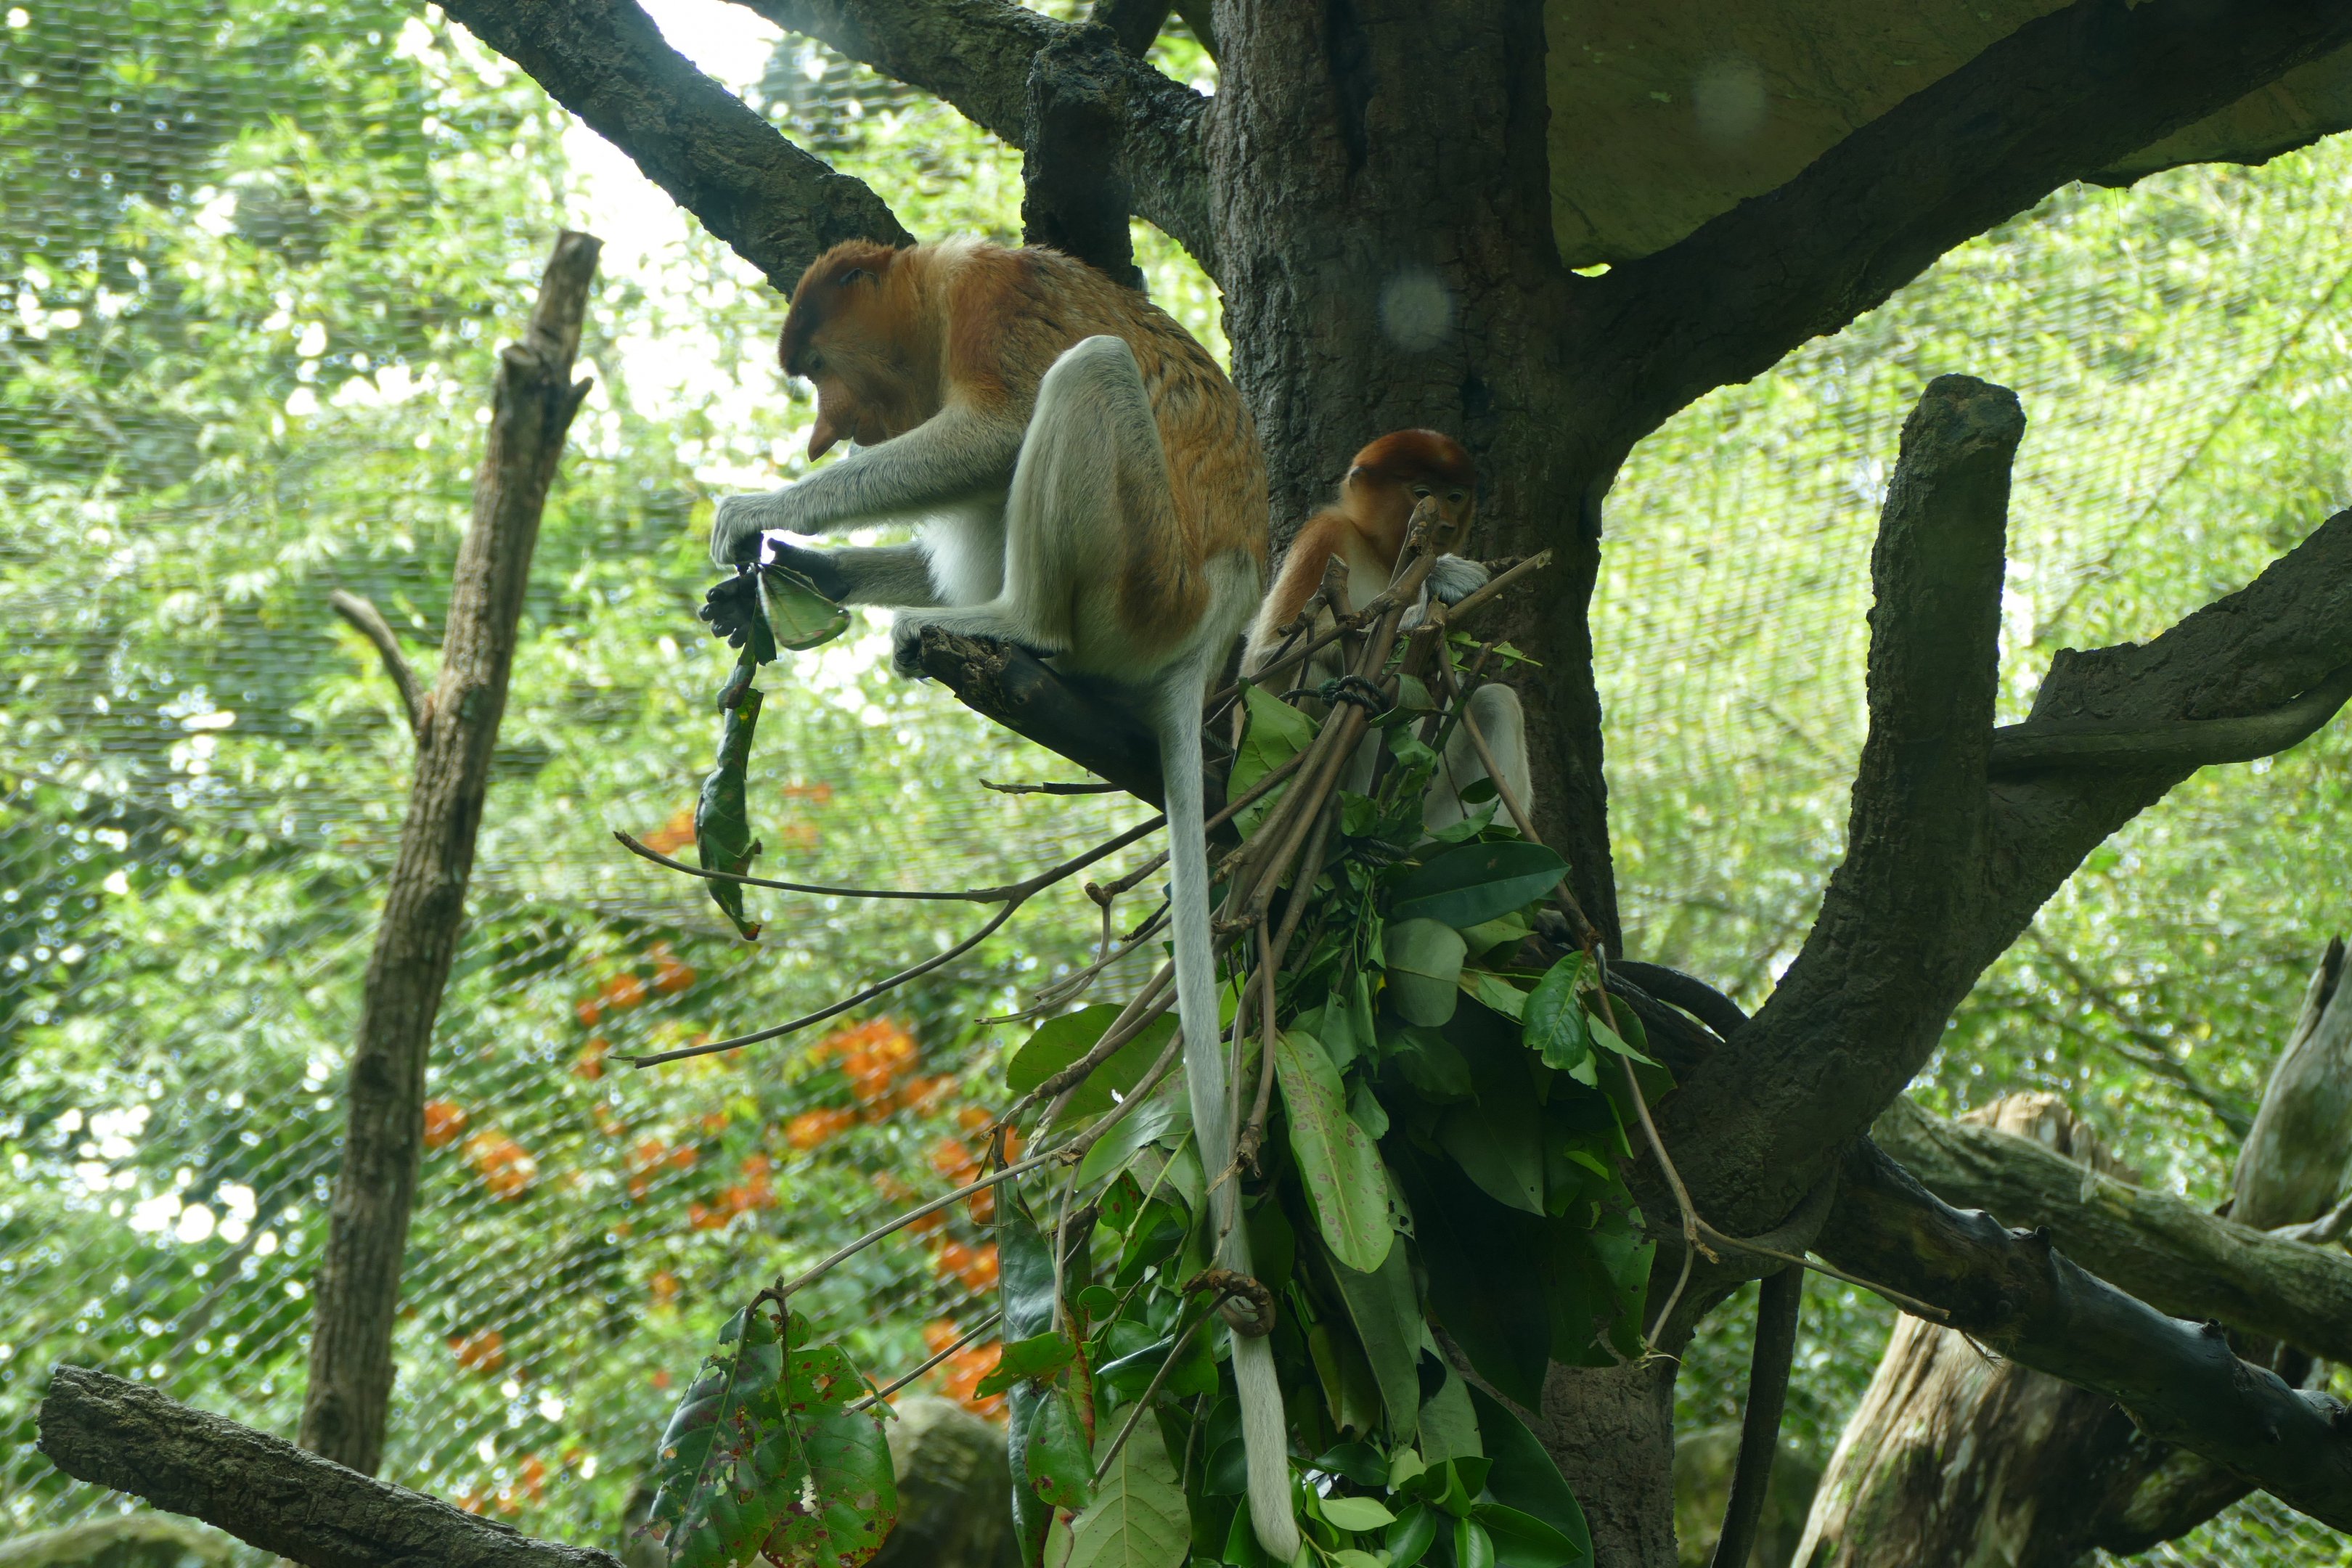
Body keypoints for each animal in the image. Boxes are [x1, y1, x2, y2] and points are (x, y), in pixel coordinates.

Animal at [700, 238, 1299, 1560]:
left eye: (820, 369)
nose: (822, 433)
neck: (930, 286)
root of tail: (1213, 628)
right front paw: (790, 576)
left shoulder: (992, 305)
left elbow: (991, 430)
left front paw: (759, 512)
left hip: (1139, 576)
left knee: (1085, 382)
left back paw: (1002, 624)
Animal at [1240, 430, 1534, 832]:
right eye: (1423, 492)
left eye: (1455, 497)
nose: (1446, 525)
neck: (1380, 553)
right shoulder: (1324, 535)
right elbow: (1265, 659)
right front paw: (1433, 587)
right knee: (1313, 676)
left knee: (1498, 702)